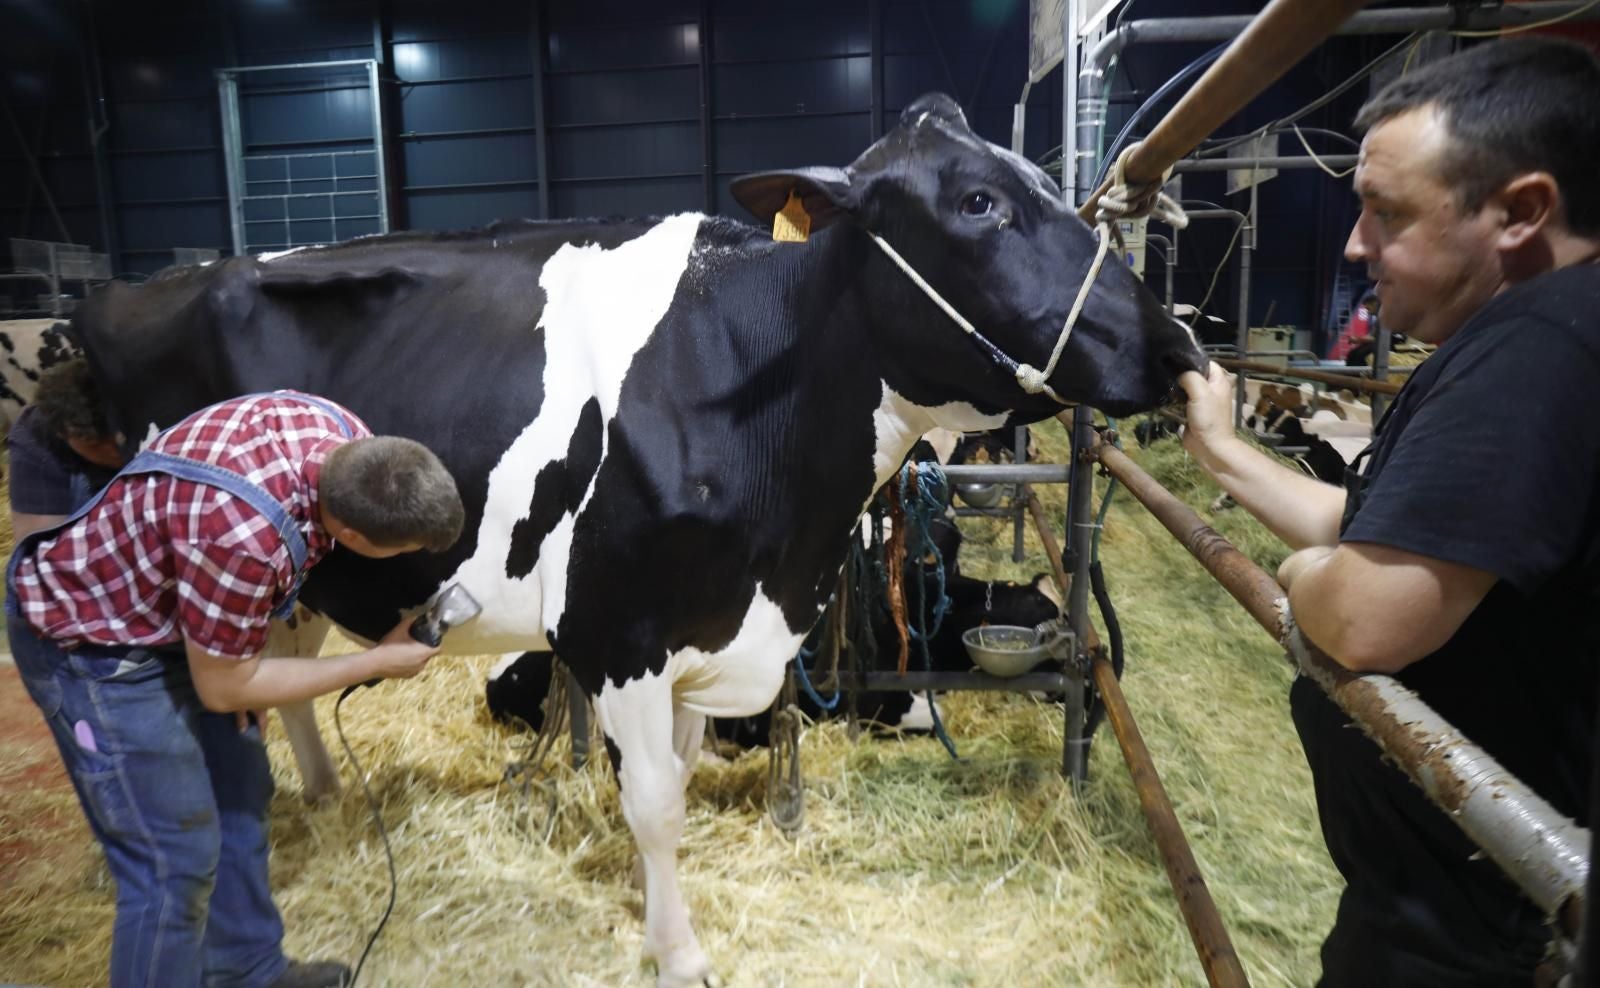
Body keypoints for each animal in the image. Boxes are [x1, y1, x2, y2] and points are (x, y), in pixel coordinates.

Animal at [72, 94, 1203, 984]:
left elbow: (688, 780)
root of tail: (135, 289)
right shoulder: (618, 633)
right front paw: (681, 952)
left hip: (302, 570)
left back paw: (323, 792)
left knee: (284, 663)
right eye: (977, 204)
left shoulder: (714, 633)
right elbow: (654, 802)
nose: (1179, 346)